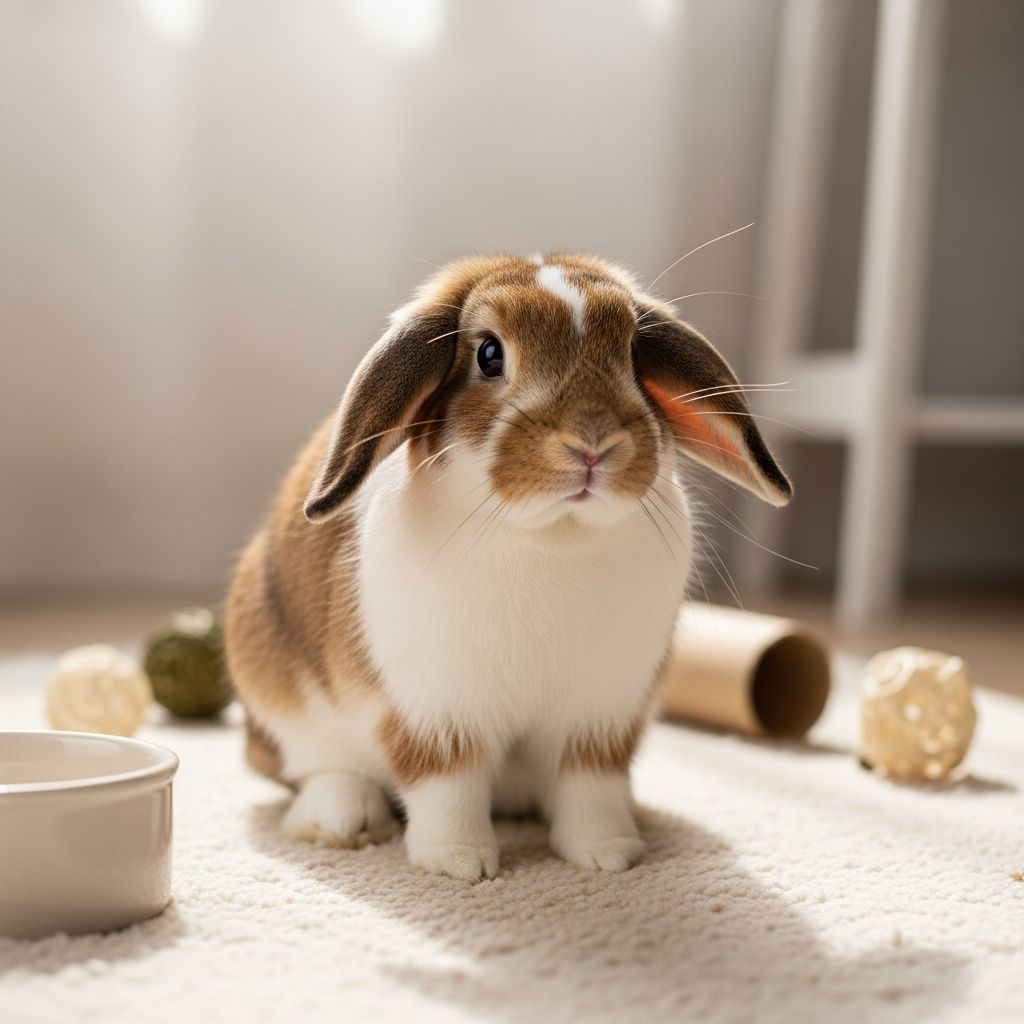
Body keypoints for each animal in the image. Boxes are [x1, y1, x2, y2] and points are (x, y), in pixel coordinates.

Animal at [224, 253, 791, 881]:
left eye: (631, 352)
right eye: (489, 354)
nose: (592, 444)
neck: (553, 534)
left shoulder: (600, 717)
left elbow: (590, 787)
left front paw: (609, 854)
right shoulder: (436, 714)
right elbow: (447, 784)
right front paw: (459, 865)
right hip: (279, 697)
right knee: (312, 768)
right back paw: (341, 818)